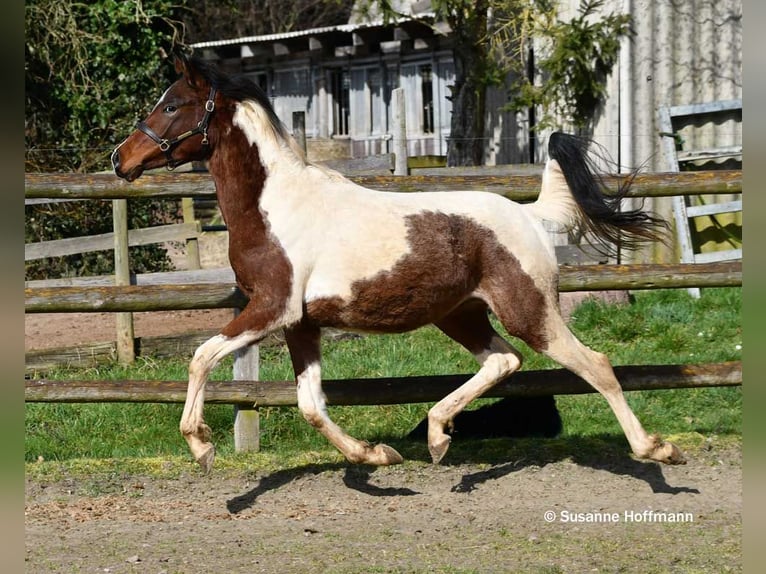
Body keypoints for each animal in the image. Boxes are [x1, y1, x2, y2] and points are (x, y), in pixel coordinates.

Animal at [112, 52, 685, 473]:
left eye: (172, 105)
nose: (121, 159)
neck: (276, 205)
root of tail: (529, 215)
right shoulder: (300, 323)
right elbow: (310, 404)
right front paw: (375, 455)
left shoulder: (271, 309)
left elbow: (201, 356)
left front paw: (200, 444)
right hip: (460, 314)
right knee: (504, 361)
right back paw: (436, 436)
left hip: (530, 311)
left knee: (596, 365)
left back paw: (658, 450)